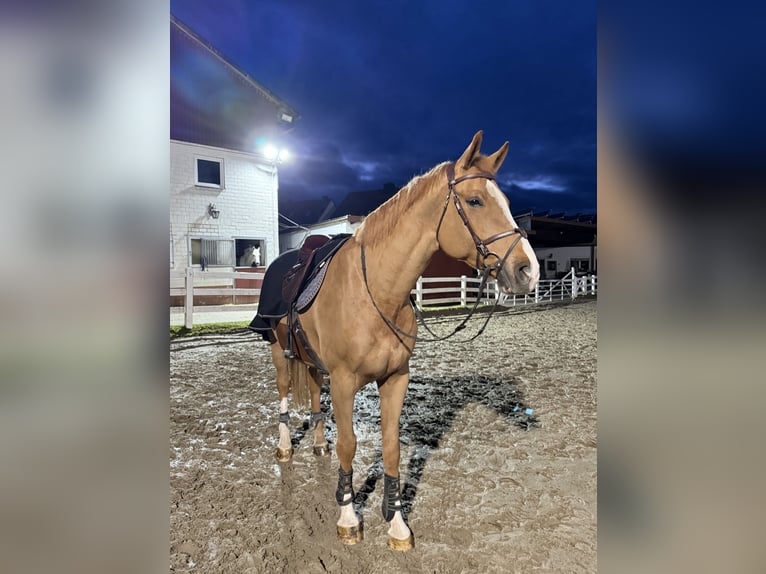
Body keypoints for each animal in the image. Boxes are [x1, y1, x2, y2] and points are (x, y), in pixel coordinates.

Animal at [259, 131, 539, 551]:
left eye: (506, 202)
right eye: (475, 200)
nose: (528, 271)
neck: (376, 290)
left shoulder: (395, 379)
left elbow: (390, 447)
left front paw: (396, 524)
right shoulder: (344, 381)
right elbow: (350, 445)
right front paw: (348, 518)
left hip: (312, 360)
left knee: (313, 393)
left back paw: (318, 443)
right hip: (279, 352)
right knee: (281, 394)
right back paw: (284, 447)